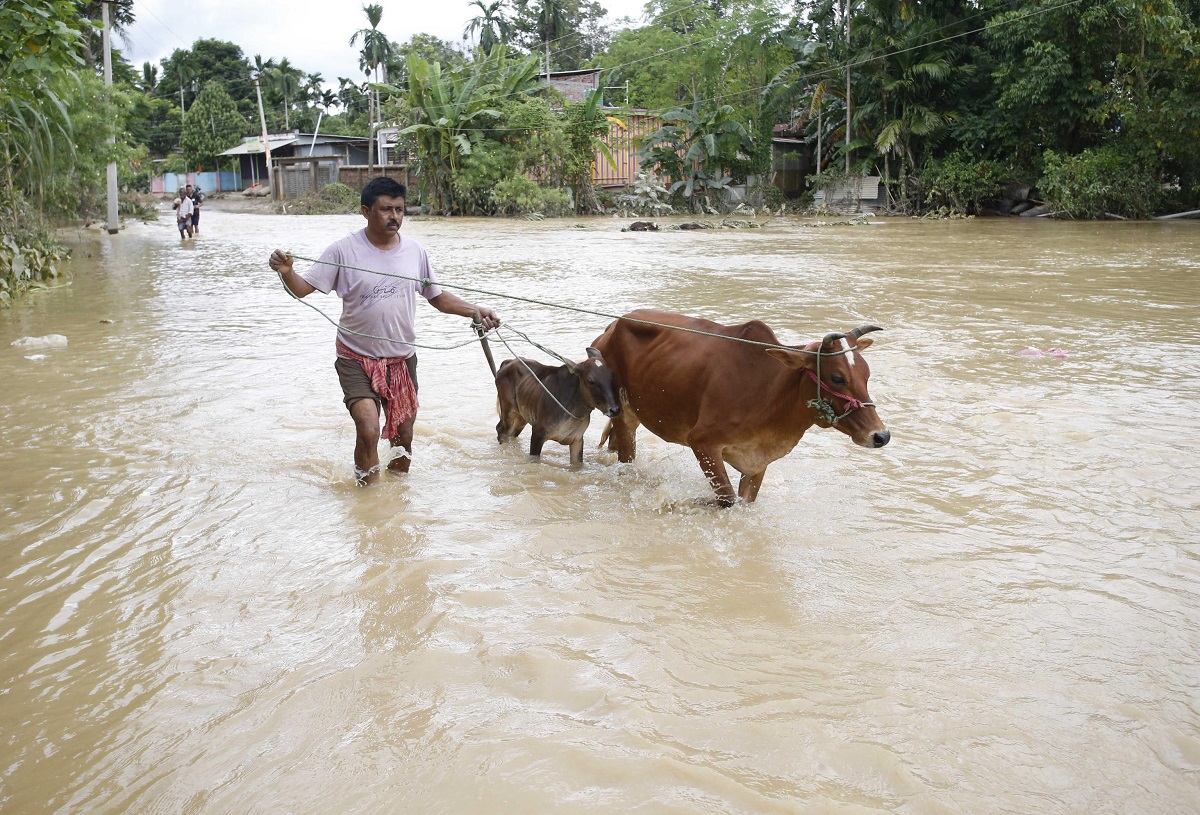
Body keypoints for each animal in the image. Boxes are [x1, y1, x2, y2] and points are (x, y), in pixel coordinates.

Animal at [494, 348, 624, 468]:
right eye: (590, 381)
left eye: (612, 375)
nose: (614, 409)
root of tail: (508, 362)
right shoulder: (537, 434)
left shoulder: (577, 440)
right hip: (509, 413)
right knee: (501, 430)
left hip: (521, 417)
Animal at [592, 309, 892, 506]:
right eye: (837, 377)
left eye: (866, 374)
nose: (881, 435)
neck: (771, 390)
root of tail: (612, 327)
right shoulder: (703, 443)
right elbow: (726, 499)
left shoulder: (757, 462)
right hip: (622, 413)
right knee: (626, 458)